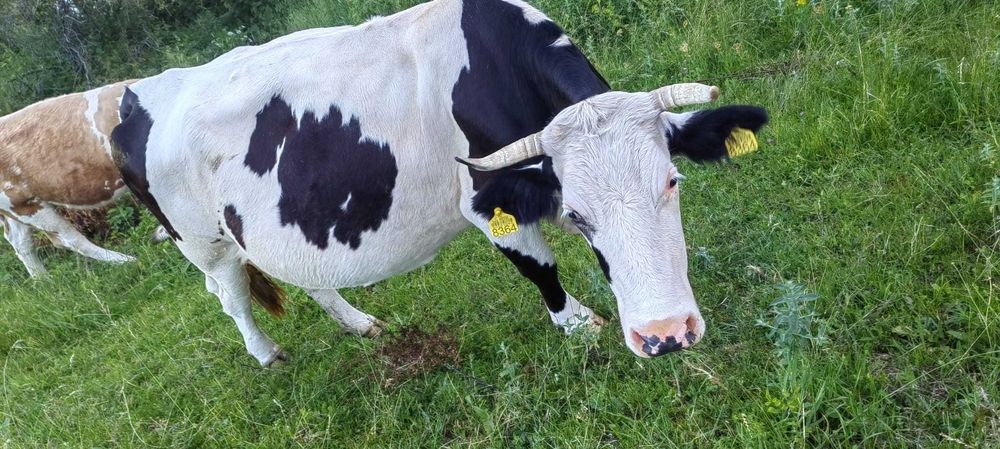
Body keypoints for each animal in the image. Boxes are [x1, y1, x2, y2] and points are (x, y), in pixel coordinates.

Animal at [0, 81, 140, 277]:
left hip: (16, 206)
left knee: (21, 242)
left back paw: (43, 280)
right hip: (26, 206)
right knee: (67, 238)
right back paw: (127, 261)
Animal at [112, 0, 768, 365]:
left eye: (673, 181)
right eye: (578, 213)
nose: (666, 336)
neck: (493, 64)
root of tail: (134, 94)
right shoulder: (482, 197)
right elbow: (540, 267)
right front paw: (579, 326)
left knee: (300, 275)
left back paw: (360, 325)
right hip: (202, 241)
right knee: (228, 294)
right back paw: (267, 354)